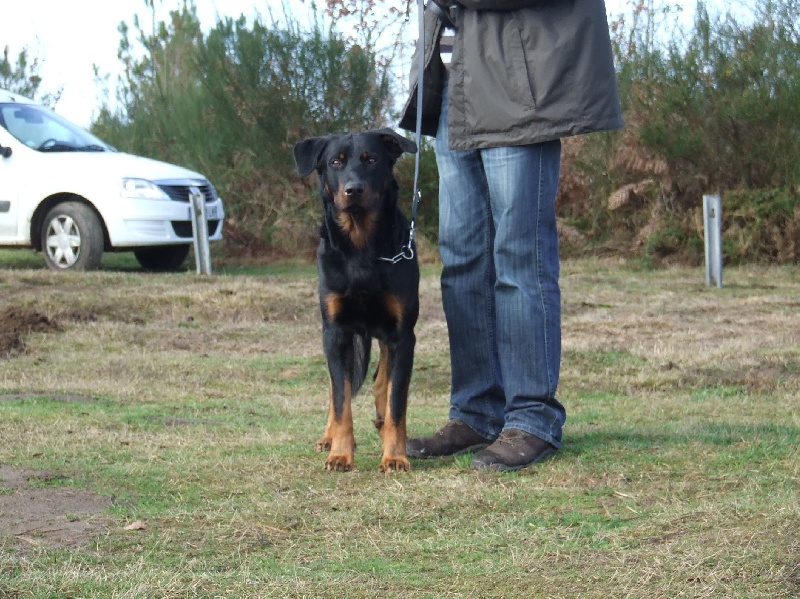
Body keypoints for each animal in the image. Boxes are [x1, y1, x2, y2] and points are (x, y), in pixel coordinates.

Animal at [294, 130, 418, 474]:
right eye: (335, 162)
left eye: (371, 159)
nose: (353, 190)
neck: (361, 248)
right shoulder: (336, 332)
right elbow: (341, 400)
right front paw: (339, 453)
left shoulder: (402, 335)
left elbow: (396, 401)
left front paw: (395, 455)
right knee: (338, 387)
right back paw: (328, 437)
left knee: (381, 383)